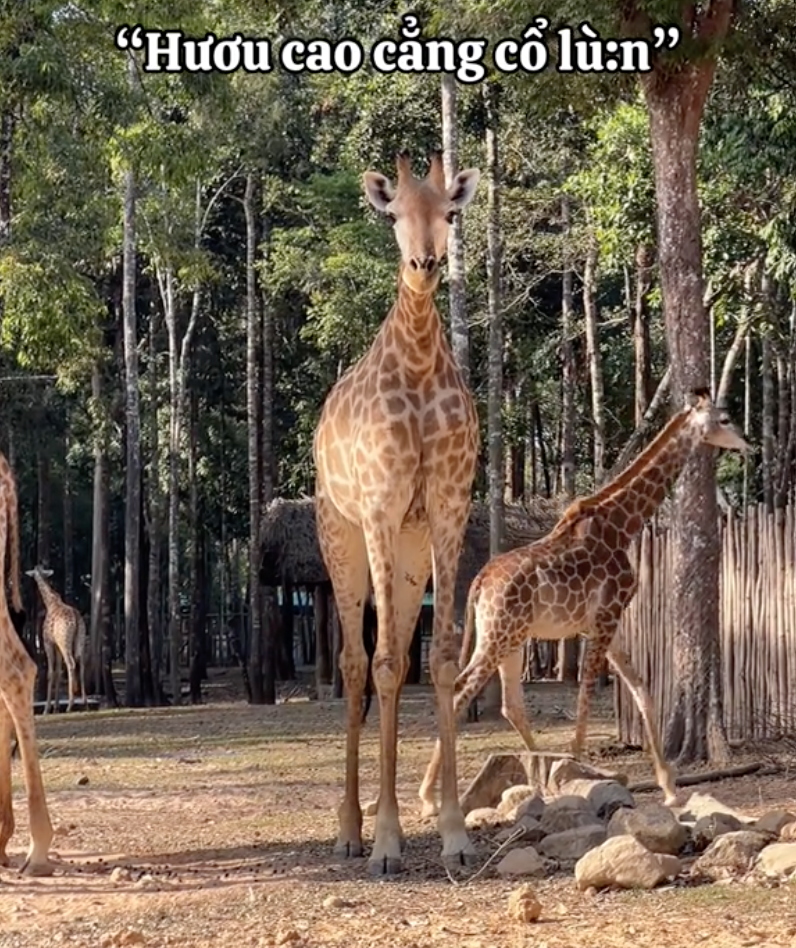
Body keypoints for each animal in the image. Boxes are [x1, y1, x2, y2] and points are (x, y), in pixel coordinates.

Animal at [25, 568, 87, 716]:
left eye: (34, 573)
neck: (50, 602)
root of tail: (76, 618)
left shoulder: (48, 643)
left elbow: (50, 673)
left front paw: (47, 709)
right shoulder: (57, 647)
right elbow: (58, 672)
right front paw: (56, 708)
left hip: (64, 641)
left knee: (71, 663)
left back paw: (70, 705)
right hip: (80, 640)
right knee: (81, 663)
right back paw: (84, 702)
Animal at [420, 388, 748, 812]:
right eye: (723, 419)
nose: (747, 442)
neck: (625, 524)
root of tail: (478, 582)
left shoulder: (603, 620)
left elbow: (641, 688)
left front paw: (670, 787)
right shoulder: (607, 614)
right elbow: (588, 689)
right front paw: (575, 764)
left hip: (510, 638)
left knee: (509, 702)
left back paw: (537, 777)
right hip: (499, 635)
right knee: (461, 689)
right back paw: (431, 796)